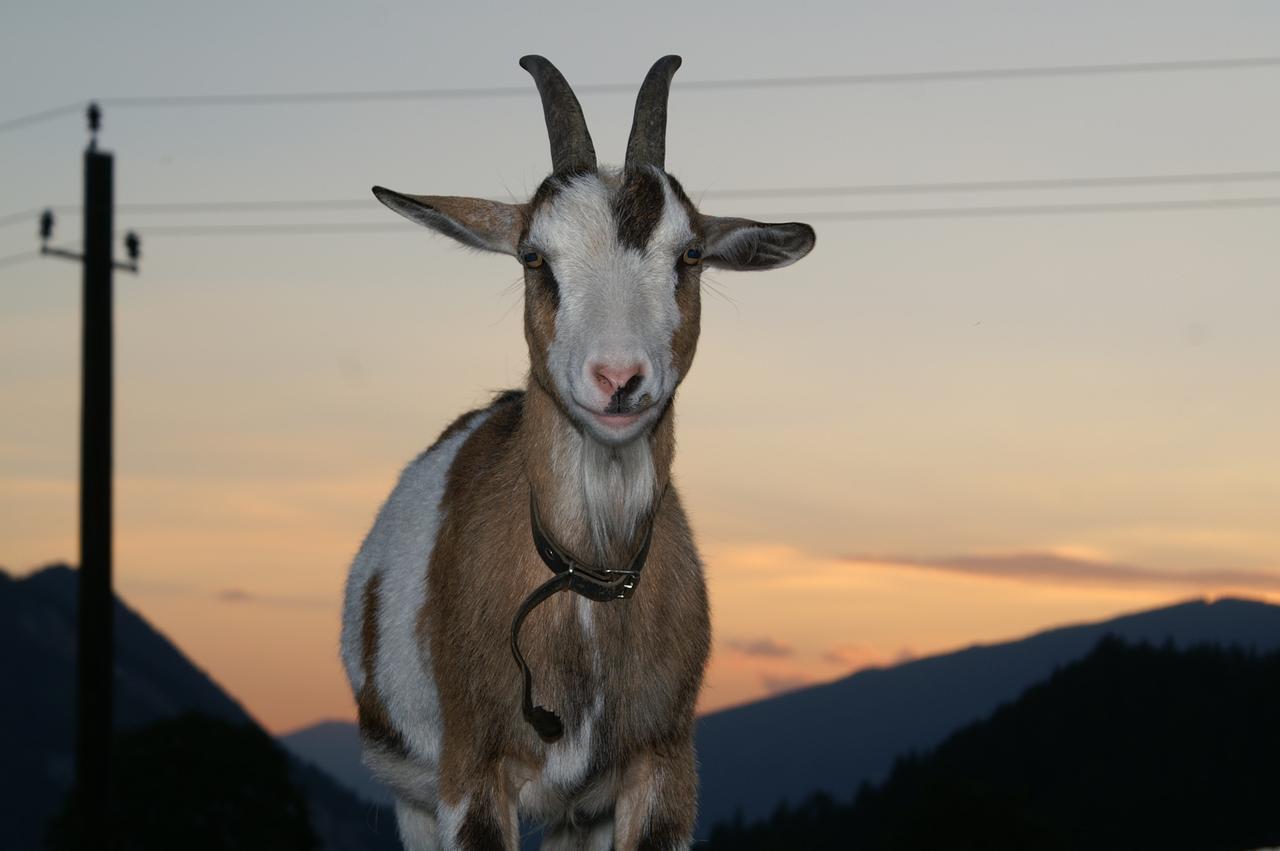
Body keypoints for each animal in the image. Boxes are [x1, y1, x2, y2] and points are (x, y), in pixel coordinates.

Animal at [340, 56, 814, 844]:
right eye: (535, 256)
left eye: (690, 254)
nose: (618, 378)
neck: (586, 574)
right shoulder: (471, 772)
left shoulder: (661, 765)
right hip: (411, 796)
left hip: (576, 815)